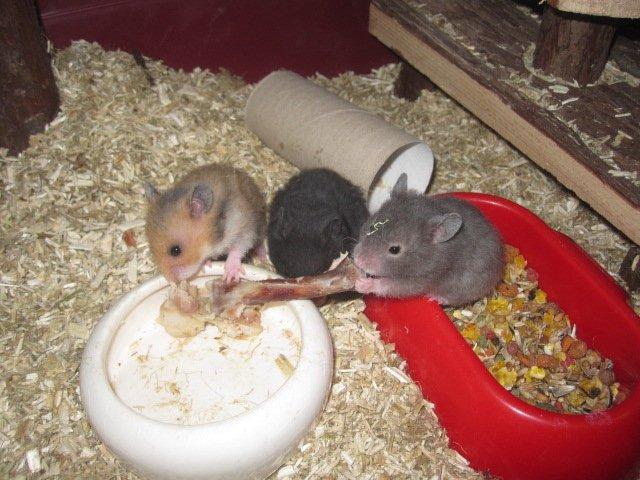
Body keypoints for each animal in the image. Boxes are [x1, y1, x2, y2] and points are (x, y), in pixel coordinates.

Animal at [353, 174, 504, 307]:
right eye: (372, 227)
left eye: (394, 249)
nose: (357, 260)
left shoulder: (422, 278)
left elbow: (389, 286)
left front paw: (360, 283)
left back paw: (436, 298)